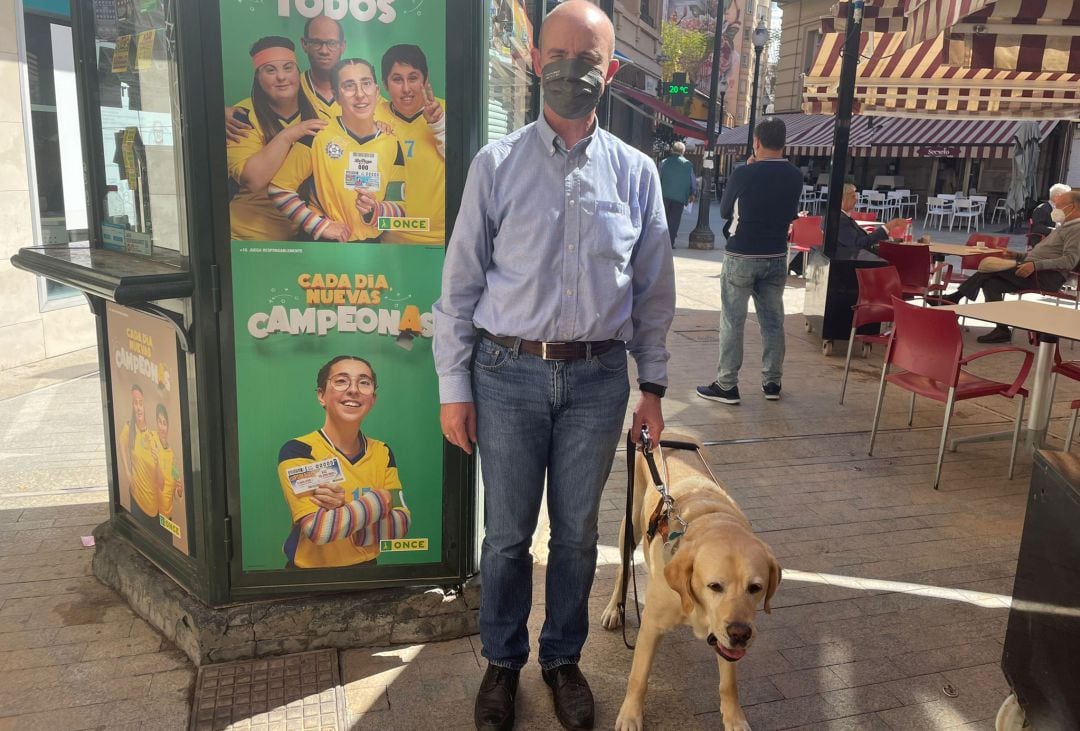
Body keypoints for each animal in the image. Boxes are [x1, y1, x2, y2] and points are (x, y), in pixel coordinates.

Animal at [604, 434, 781, 729]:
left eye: (755, 588)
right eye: (714, 586)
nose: (741, 634)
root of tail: (672, 432)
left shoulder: (724, 637)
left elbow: (728, 684)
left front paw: (734, 719)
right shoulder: (651, 626)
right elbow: (639, 677)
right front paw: (630, 715)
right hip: (630, 524)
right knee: (622, 569)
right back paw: (612, 610)